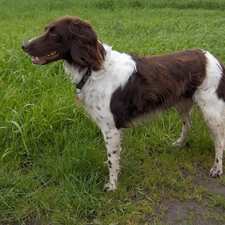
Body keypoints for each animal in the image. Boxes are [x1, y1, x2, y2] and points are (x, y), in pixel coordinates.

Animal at [21, 15, 225, 192]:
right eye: (46, 29)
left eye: (54, 32)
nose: (24, 45)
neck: (93, 70)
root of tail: (212, 57)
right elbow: (114, 156)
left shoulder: (111, 128)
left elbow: (112, 160)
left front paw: (112, 186)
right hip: (182, 103)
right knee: (188, 123)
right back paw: (179, 143)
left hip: (211, 112)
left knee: (220, 141)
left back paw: (217, 169)